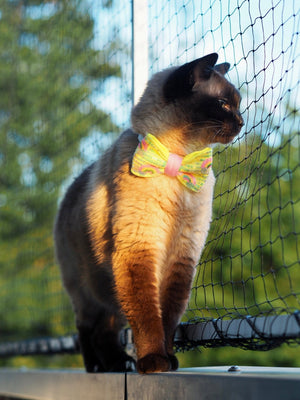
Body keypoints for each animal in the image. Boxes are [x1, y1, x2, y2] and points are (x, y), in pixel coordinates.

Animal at [54, 53, 243, 376]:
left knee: (105, 331)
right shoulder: (138, 249)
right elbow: (147, 317)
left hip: (111, 293)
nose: (243, 122)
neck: (176, 160)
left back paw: (118, 364)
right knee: (87, 329)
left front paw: (168, 360)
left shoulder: (182, 256)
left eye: (238, 104)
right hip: (89, 290)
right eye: (223, 104)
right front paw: (154, 362)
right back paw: (99, 366)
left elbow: (167, 318)